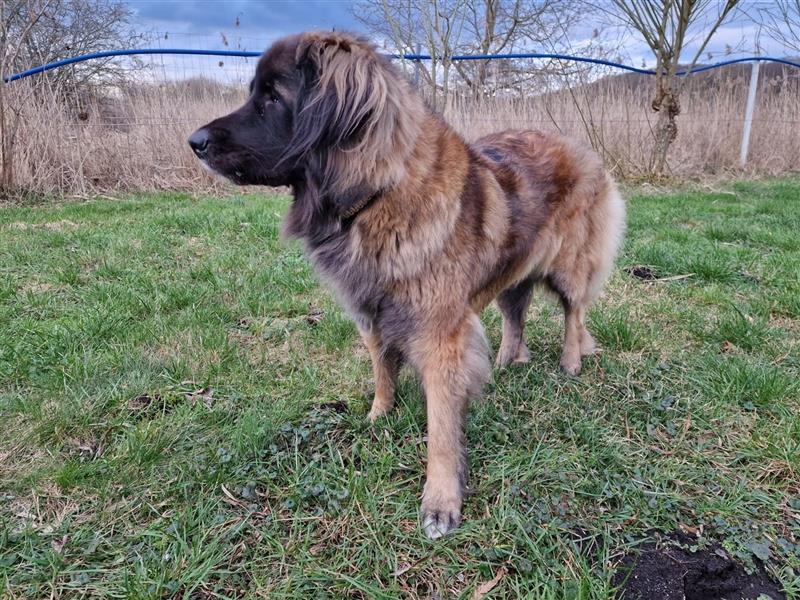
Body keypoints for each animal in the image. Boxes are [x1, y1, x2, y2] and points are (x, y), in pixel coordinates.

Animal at [188, 31, 624, 540]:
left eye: (274, 98)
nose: (194, 142)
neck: (379, 193)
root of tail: (579, 145)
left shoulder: (440, 336)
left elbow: (441, 427)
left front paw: (441, 501)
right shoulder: (373, 313)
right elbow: (383, 368)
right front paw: (379, 415)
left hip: (569, 266)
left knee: (575, 312)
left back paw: (570, 361)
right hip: (508, 275)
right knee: (516, 316)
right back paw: (507, 361)